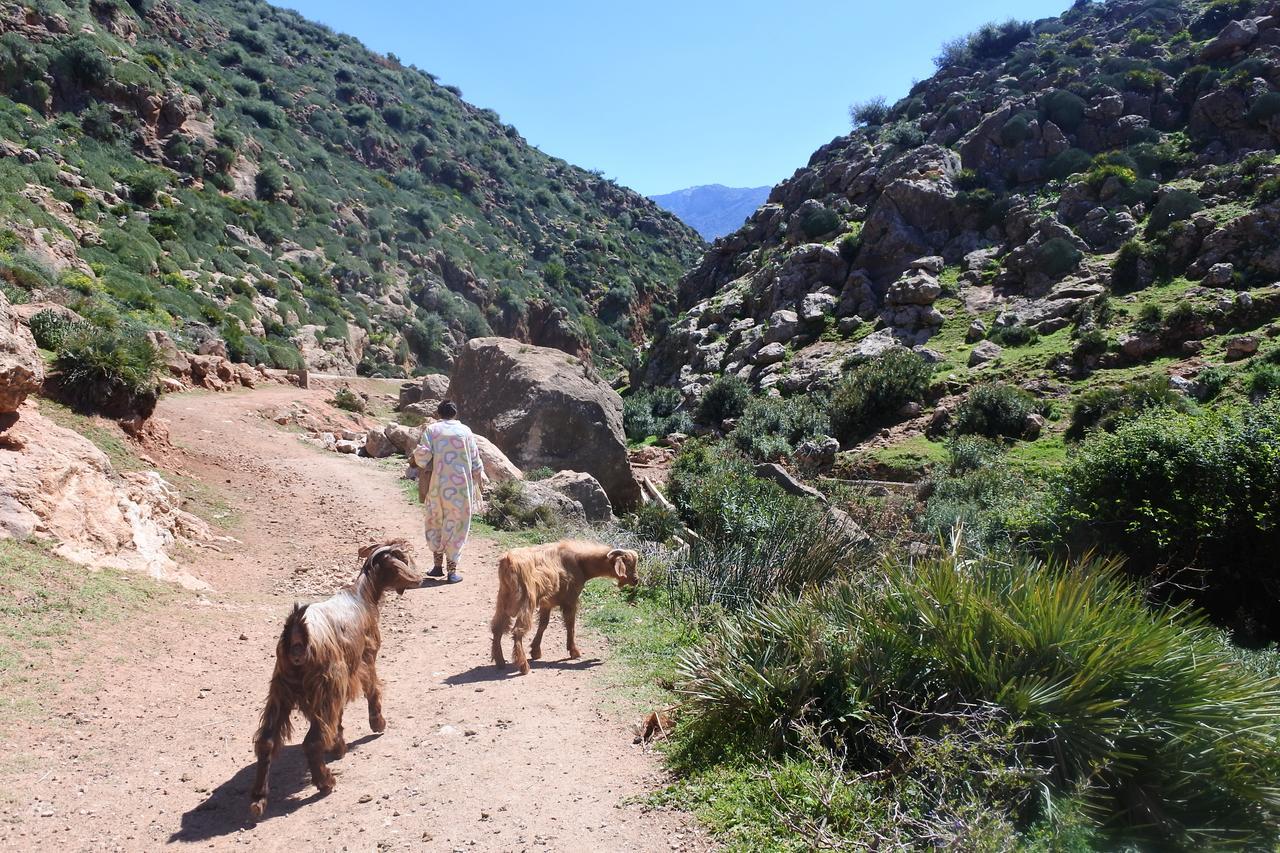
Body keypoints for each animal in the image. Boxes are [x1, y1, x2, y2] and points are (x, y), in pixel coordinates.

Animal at [243, 540, 414, 814]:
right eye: (401, 559)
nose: (418, 580)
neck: (362, 596)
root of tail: (297, 633)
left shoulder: (339, 681)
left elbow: (338, 718)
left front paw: (338, 745)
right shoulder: (363, 660)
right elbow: (372, 690)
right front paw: (377, 724)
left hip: (282, 689)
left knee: (267, 741)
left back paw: (259, 799)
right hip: (324, 684)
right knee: (311, 742)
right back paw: (325, 782)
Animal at [488, 537, 640, 671]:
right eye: (628, 564)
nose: (636, 580)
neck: (579, 562)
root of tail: (508, 560)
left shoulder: (547, 603)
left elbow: (543, 625)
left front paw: (536, 651)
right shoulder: (570, 600)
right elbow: (570, 625)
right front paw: (574, 652)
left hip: (503, 600)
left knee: (497, 628)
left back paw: (500, 662)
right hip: (527, 601)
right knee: (517, 631)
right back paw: (523, 666)